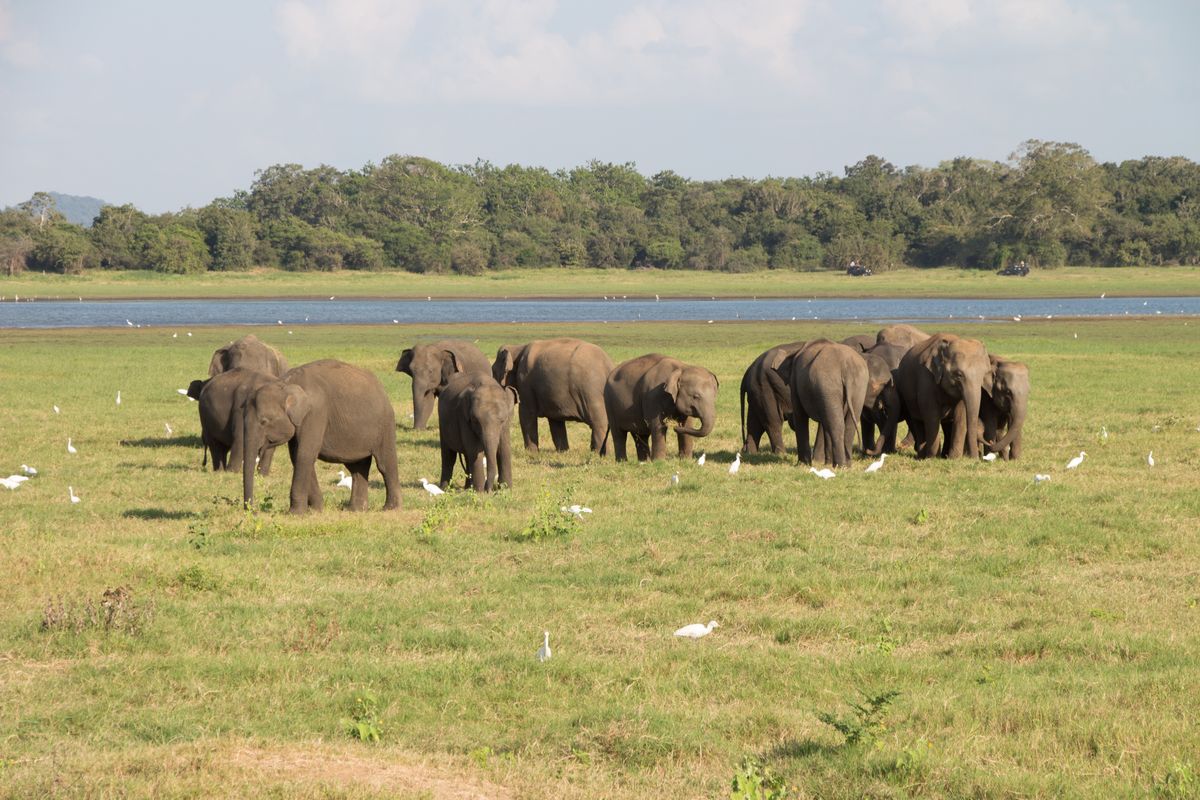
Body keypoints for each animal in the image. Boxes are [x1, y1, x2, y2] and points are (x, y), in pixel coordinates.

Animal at [243, 362, 403, 515]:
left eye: (264, 422)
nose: (253, 512)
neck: (286, 383)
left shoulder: (315, 413)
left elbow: (305, 455)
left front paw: (295, 513)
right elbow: (297, 456)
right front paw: (316, 510)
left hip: (385, 424)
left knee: (384, 464)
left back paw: (390, 508)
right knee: (357, 467)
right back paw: (355, 510)